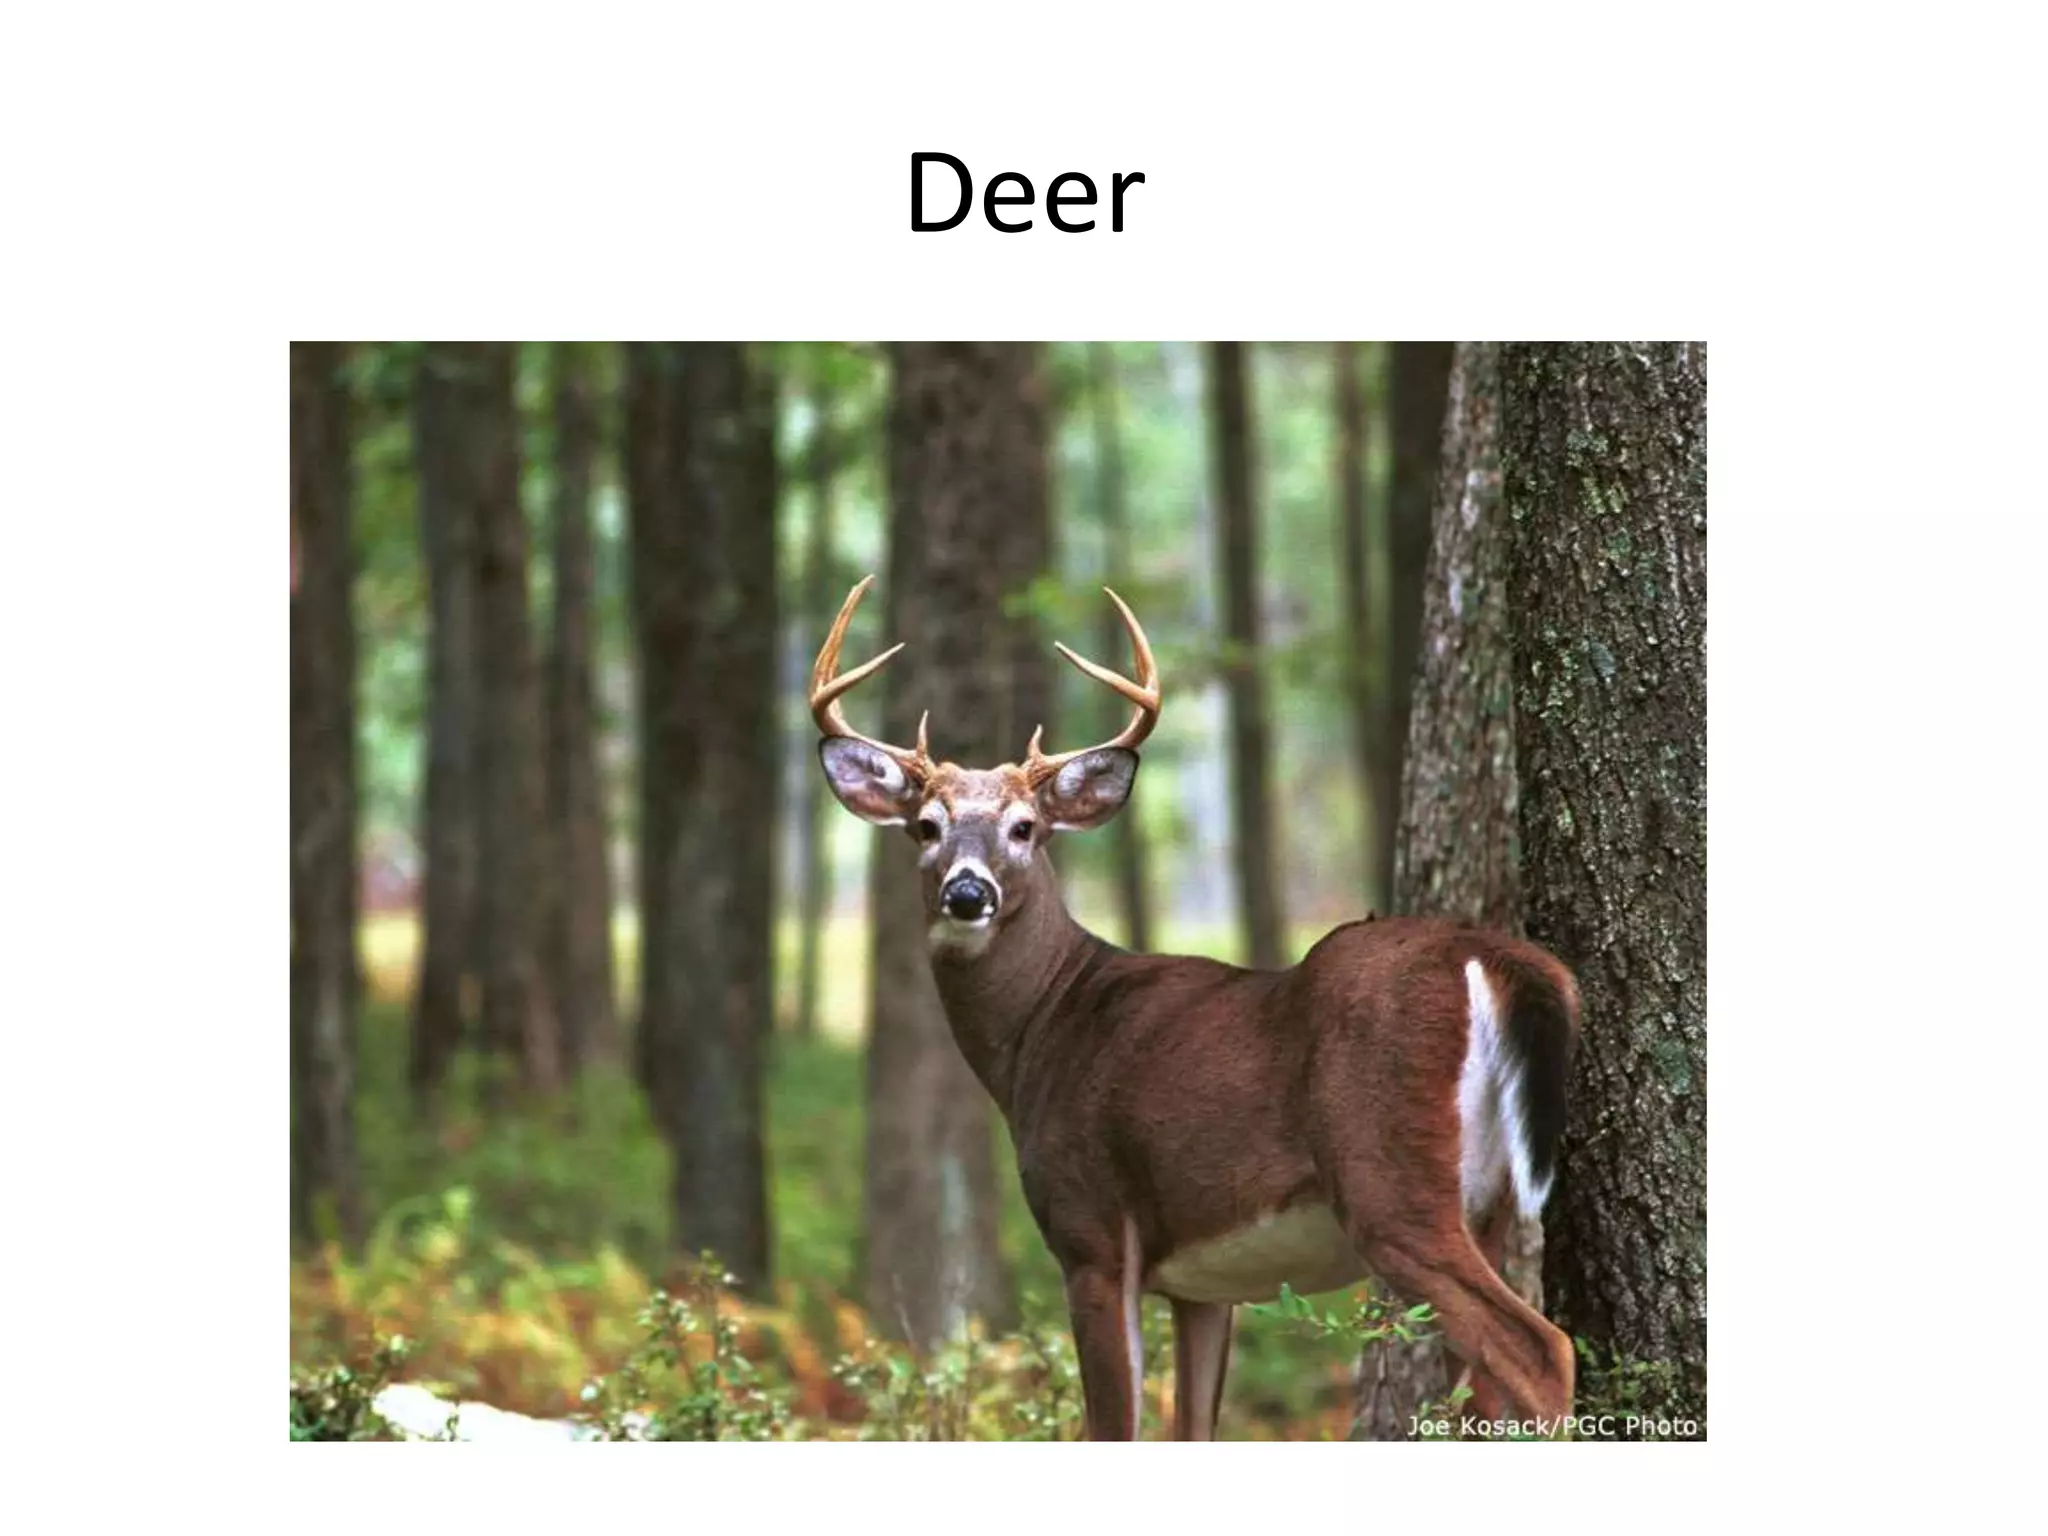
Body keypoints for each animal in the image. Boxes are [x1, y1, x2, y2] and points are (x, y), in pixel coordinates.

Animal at [811, 576, 1582, 1441]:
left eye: (1025, 828)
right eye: (925, 827)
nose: (967, 892)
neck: (1042, 1028)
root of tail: (1494, 957)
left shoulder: (1092, 1232)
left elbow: (1113, 1426)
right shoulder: (1200, 1286)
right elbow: (1191, 1427)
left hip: (1391, 1179)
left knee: (1541, 1349)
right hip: (1485, 1202)